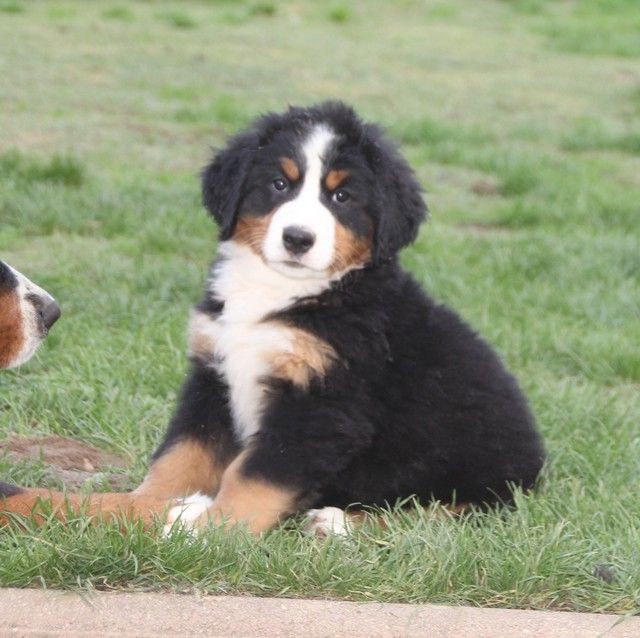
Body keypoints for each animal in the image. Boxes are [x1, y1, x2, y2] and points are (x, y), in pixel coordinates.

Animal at [0, 103, 545, 536]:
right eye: (279, 184)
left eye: (342, 197)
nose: (298, 238)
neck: (280, 295)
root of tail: (537, 459)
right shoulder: (213, 379)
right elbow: (180, 458)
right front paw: (148, 507)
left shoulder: (322, 405)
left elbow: (255, 476)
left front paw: (212, 531)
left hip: (481, 478)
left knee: (444, 515)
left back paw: (337, 522)